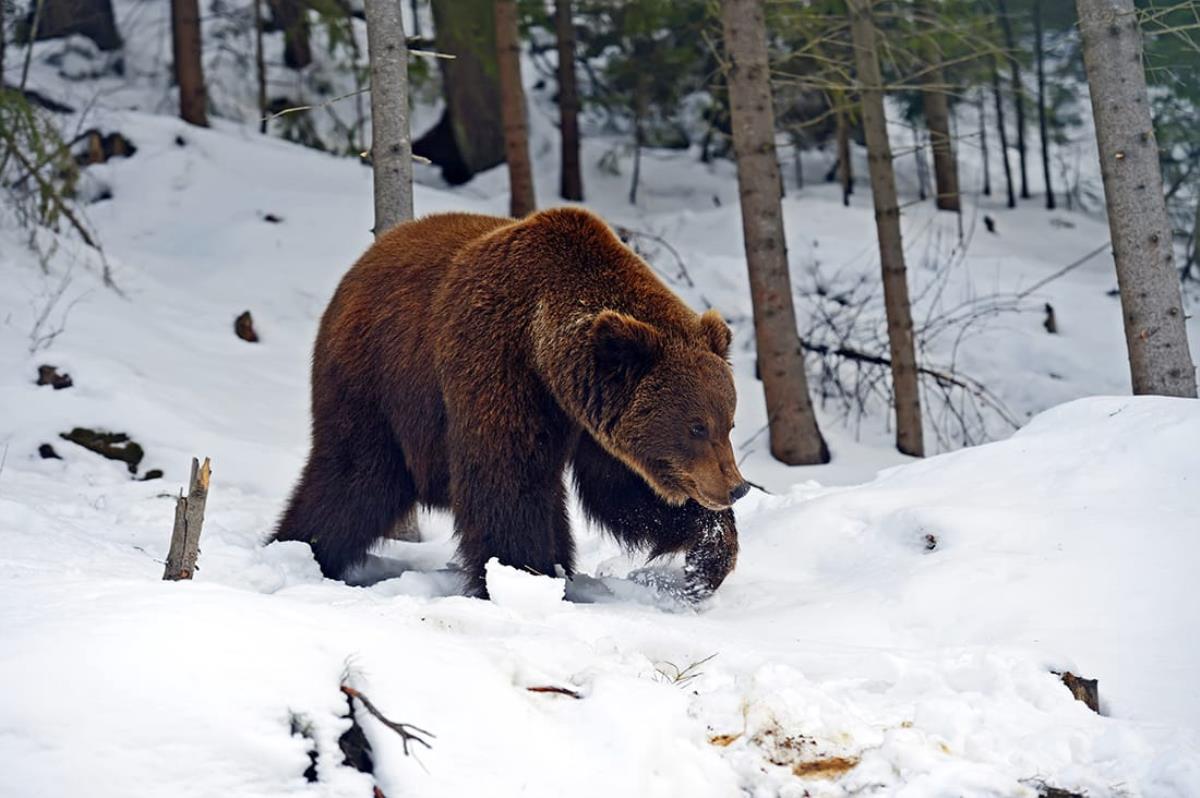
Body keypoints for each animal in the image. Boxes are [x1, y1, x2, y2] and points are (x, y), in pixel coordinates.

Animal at [277, 205, 748, 597]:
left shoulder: (590, 414)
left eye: (729, 422)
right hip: (376, 383)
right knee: (354, 480)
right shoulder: (498, 365)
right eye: (696, 426)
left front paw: (707, 560)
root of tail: (362, 262)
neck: (544, 351)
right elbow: (506, 480)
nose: (736, 487)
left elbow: (623, 491)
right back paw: (301, 550)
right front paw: (523, 575)